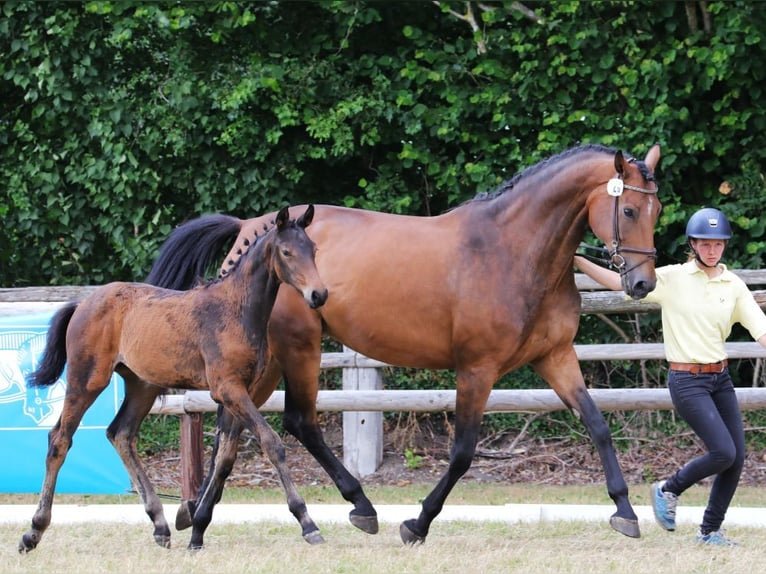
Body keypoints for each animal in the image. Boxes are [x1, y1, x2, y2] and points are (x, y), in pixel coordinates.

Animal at [18, 205, 328, 553]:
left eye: (313, 250)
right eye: (287, 252)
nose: (319, 294)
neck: (236, 309)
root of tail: (82, 303)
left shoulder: (242, 391)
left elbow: (225, 456)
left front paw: (197, 529)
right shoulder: (228, 388)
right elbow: (270, 442)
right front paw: (307, 522)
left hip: (143, 386)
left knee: (121, 434)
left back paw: (160, 525)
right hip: (87, 379)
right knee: (60, 439)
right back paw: (33, 531)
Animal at [148, 143, 662, 545]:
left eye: (656, 211)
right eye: (629, 210)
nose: (642, 284)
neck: (512, 251)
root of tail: (248, 228)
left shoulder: (554, 357)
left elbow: (597, 424)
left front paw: (625, 512)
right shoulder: (477, 368)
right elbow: (463, 452)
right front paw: (418, 522)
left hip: (269, 357)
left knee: (234, 426)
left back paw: (201, 517)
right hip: (297, 348)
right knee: (297, 421)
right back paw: (359, 506)